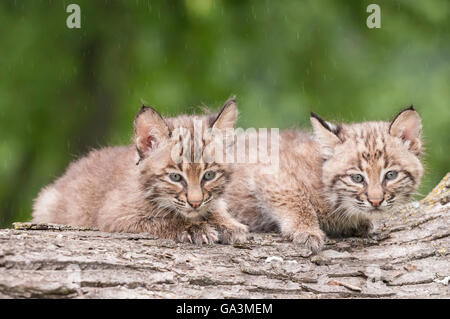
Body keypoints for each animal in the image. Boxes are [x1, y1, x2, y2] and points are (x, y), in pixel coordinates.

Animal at [32, 99, 248, 246]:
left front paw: (228, 224)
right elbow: (163, 219)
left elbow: (214, 207)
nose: (195, 203)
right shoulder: (115, 214)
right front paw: (193, 228)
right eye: (175, 177)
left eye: (209, 175)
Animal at [227, 107, 424, 252]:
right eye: (357, 178)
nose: (375, 202)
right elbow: (296, 199)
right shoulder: (270, 172)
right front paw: (307, 230)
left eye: (390, 175)